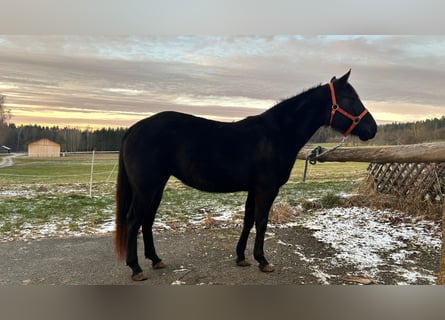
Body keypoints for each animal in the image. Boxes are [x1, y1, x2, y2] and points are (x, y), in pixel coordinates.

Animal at [113, 70, 374, 280]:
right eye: (351, 99)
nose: (372, 129)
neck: (277, 134)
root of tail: (134, 129)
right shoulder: (267, 189)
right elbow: (261, 221)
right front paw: (263, 260)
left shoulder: (254, 189)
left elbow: (248, 220)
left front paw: (241, 257)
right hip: (146, 187)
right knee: (134, 220)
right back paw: (136, 268)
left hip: (156, 186)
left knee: (147, 220)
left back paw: (156, 260)